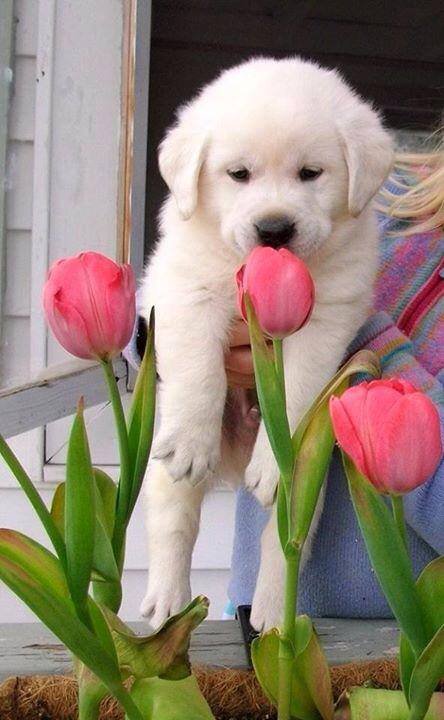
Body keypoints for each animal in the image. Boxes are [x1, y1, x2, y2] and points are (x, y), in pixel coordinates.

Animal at [139, 57, 393, 631]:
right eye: (239, 175)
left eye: (310, 173)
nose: (274, 229)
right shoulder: (183, 292)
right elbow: (199, 369)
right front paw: (192, 441)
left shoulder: (325, 316)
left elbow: (296, 388)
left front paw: (278, 458)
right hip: (160, 460)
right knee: (174, 518)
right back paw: (167, 603)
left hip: (313, 480)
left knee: (285, 539)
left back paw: (275, 617)